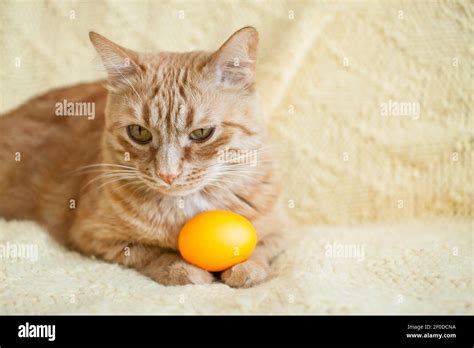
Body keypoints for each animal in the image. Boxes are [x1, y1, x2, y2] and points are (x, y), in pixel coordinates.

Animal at [0, 27, 286, 288]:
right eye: (139, 132)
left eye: (202, 133)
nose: (167, 174)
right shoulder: (93, 236)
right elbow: (152, 251)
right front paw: (181, 268)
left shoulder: (280, 231)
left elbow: (261, 246)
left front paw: (247, 266)